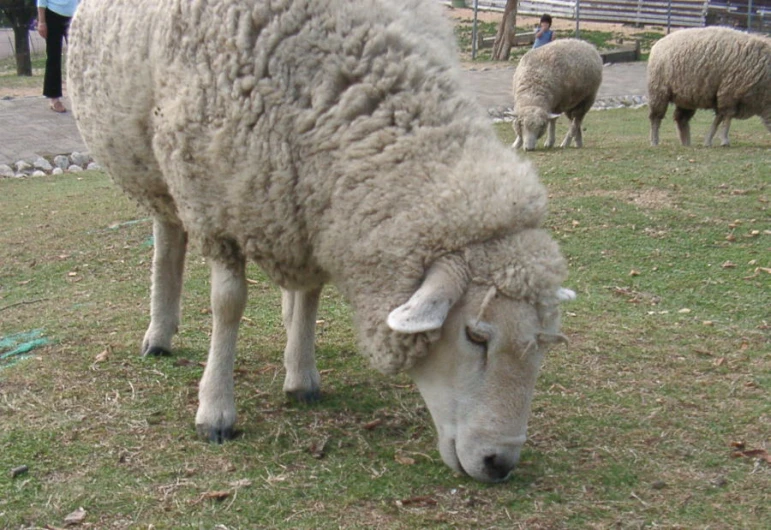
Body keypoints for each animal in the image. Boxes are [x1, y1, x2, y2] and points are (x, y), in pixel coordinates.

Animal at [69, 0, 572, 482]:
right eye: (475, 335)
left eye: (544, 344)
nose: (499, 463)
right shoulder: (215, 203)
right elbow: (228, 305)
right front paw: (215, 410)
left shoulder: (313, 207)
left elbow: (310, 296)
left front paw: (301, 374)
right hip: (154, 169)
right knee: (168, 237)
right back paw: (159, 332)